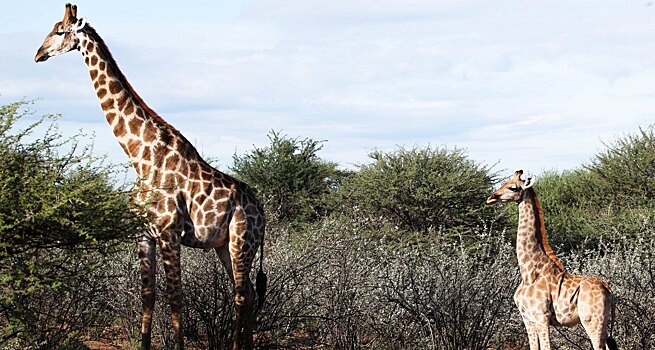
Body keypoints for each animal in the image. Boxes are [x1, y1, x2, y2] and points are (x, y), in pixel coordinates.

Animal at [34, 3, 266, 350]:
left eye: (60, 31)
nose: (38, 54)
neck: (140, 157)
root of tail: (261, 212)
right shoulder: (143, 234)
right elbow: (148, 296)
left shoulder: (169, 232)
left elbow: (176, 298)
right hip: (224, 245)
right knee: (249, 293)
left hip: (242, 240)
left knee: (240, 295)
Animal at [486, 171, 620, 350]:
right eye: (505, 182)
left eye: (513, 187)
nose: (491, 198)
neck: (528, 272)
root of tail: (609, 290)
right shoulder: (527, 318)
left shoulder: (541, 316)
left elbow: (546, 347)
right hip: (602, 323)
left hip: (592, 320)